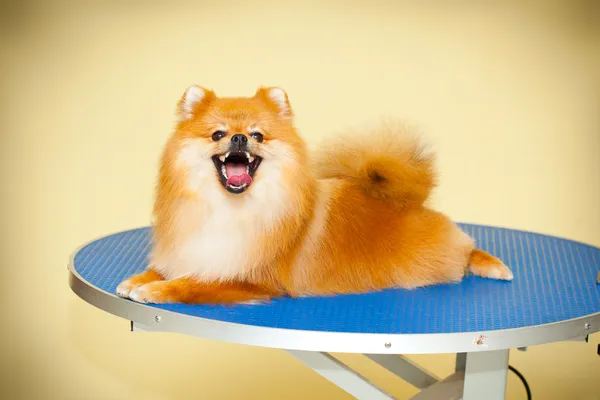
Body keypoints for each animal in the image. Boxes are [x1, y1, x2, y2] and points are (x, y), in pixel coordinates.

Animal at [115, 84, 512, 304]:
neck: (230, 208)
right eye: (217, 134)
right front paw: (139, 280)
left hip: (434, 259)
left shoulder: (252, 277)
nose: (240, 138)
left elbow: (193, 284)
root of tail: (413, 202)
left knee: (467, 249)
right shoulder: (195, 248)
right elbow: (167, 268)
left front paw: (157, 291)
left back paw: (494, 266)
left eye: (258, 135)